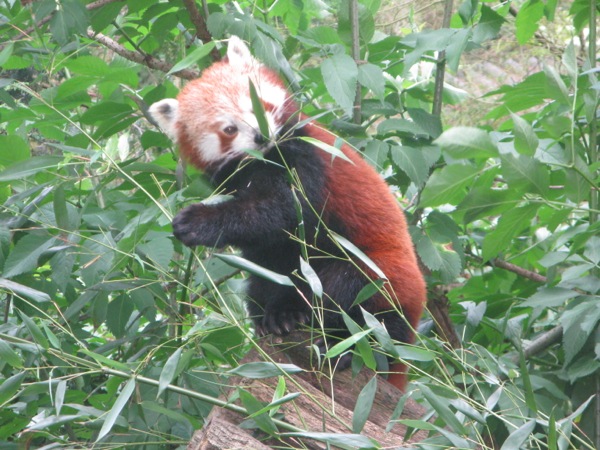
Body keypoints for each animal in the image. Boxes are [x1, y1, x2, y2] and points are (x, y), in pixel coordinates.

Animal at [149, 37, 426, 392]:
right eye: (229, 128)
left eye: (258, 104)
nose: (261, 136)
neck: (263, 158)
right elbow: (268, 246)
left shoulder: (305, 158)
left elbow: (277, 212)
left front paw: (196, 222)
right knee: (261, 285)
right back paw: (276, 319)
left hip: (380, 273)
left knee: (347, 292)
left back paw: (340, 343)